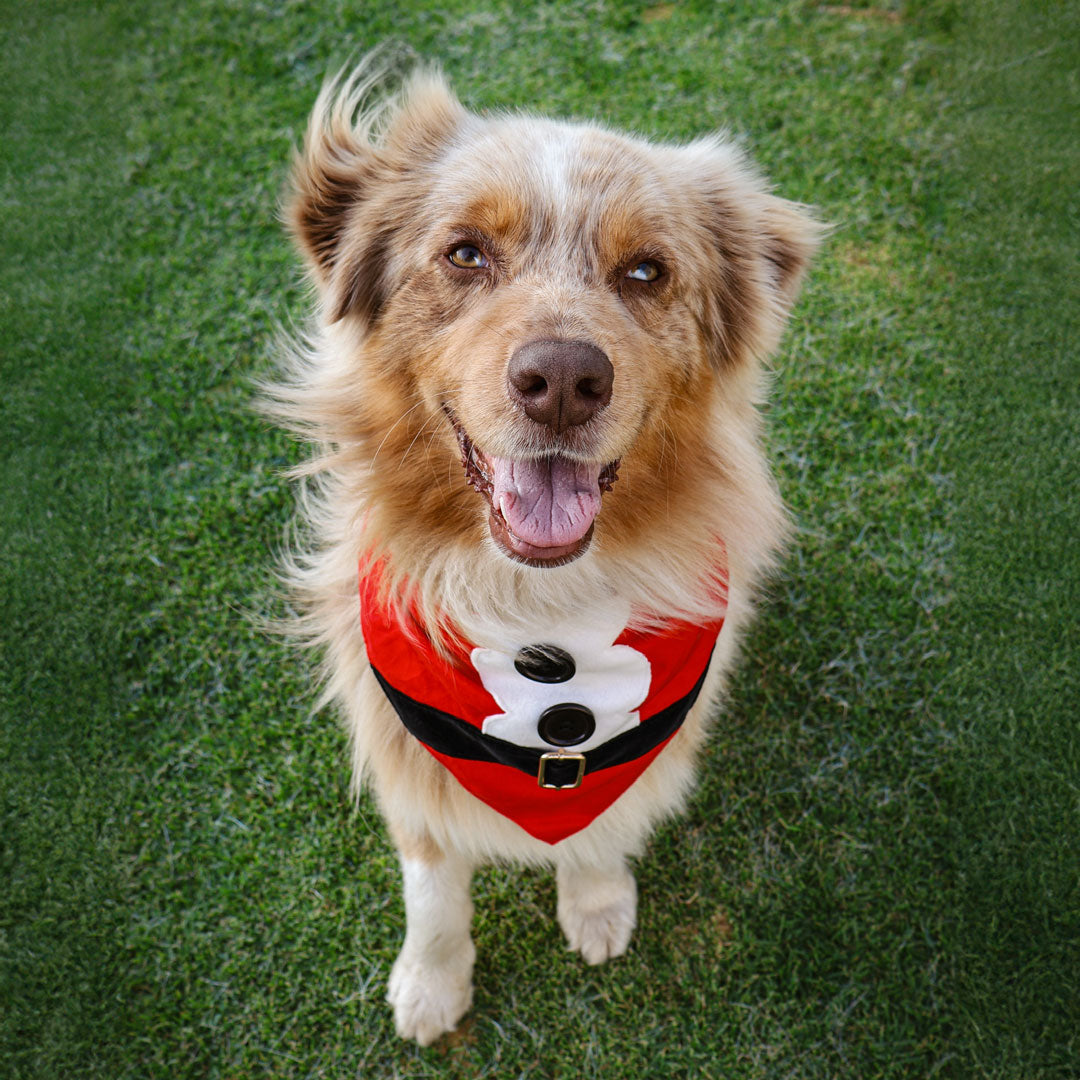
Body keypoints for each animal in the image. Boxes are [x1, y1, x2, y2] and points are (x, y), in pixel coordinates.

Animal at [267, 61, 816, 1045]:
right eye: (465, 254)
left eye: (646, 271)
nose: (562, 380)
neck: (538, 611)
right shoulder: (407, 750)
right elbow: (433, 889)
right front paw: (432, 982)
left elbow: (602, 830)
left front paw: (595, 905)